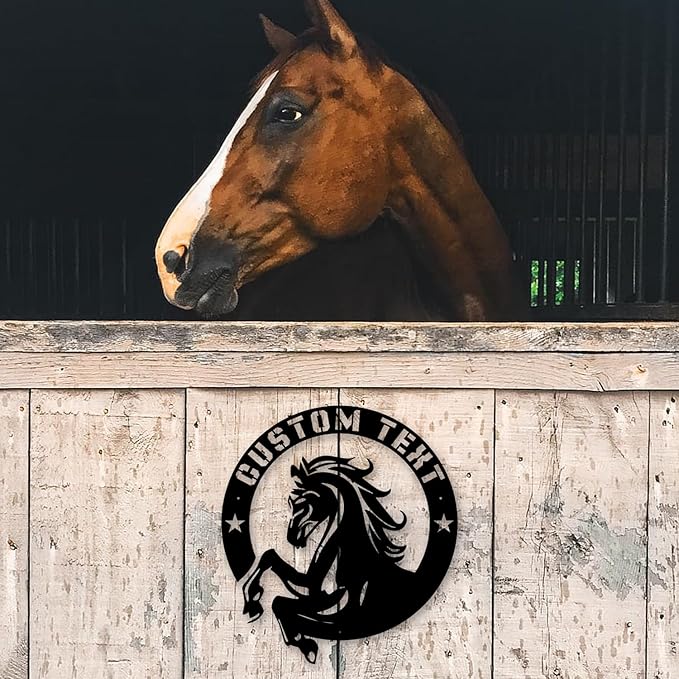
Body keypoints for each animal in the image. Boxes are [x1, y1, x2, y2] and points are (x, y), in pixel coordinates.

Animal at [241, 456, 416, 663]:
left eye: (307, 502)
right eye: (291, 502)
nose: (292, 537)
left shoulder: (342, 613)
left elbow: (281, 603)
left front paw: (305, 644)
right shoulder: (317, 591)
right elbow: (269, 558)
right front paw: (253, 601)